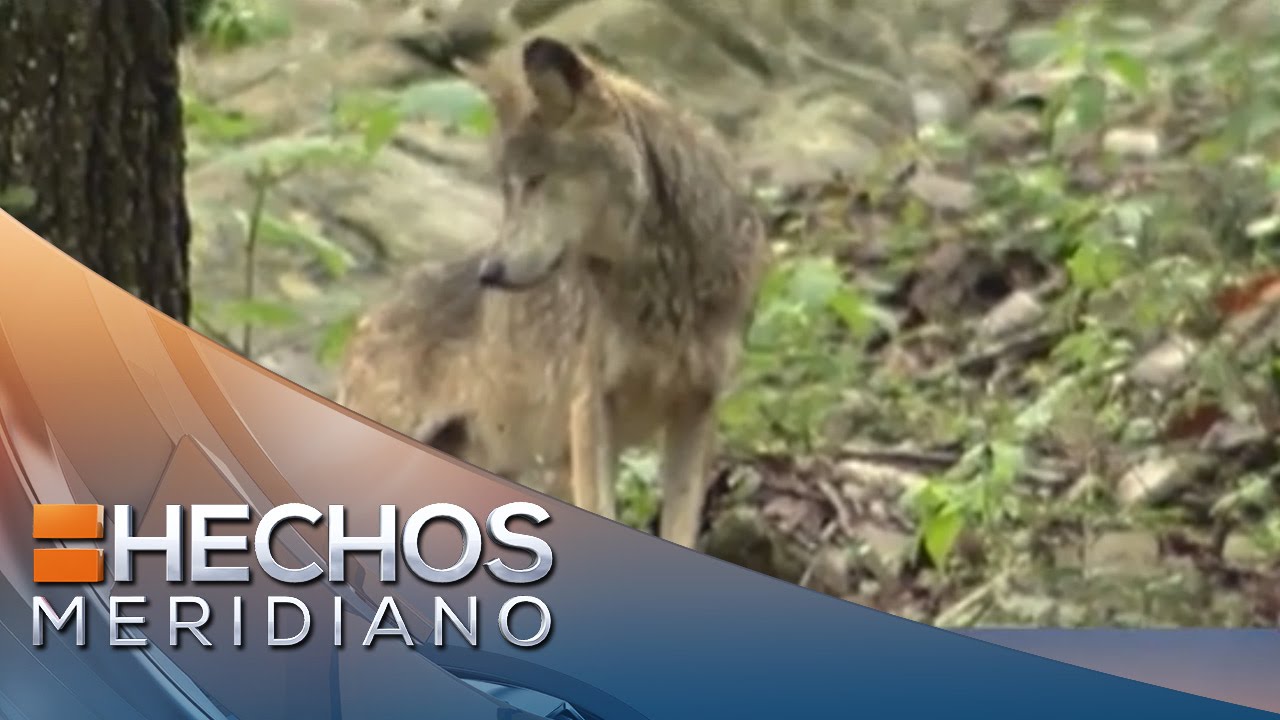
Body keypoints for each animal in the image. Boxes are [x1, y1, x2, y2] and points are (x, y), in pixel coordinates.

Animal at [336, 36, 769, 549]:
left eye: (536, 181)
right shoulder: (590, 410)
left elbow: (680, 529)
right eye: (507, 190)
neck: (663, 286)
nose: (489, 273)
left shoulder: (697, 405)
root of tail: (362, 324)